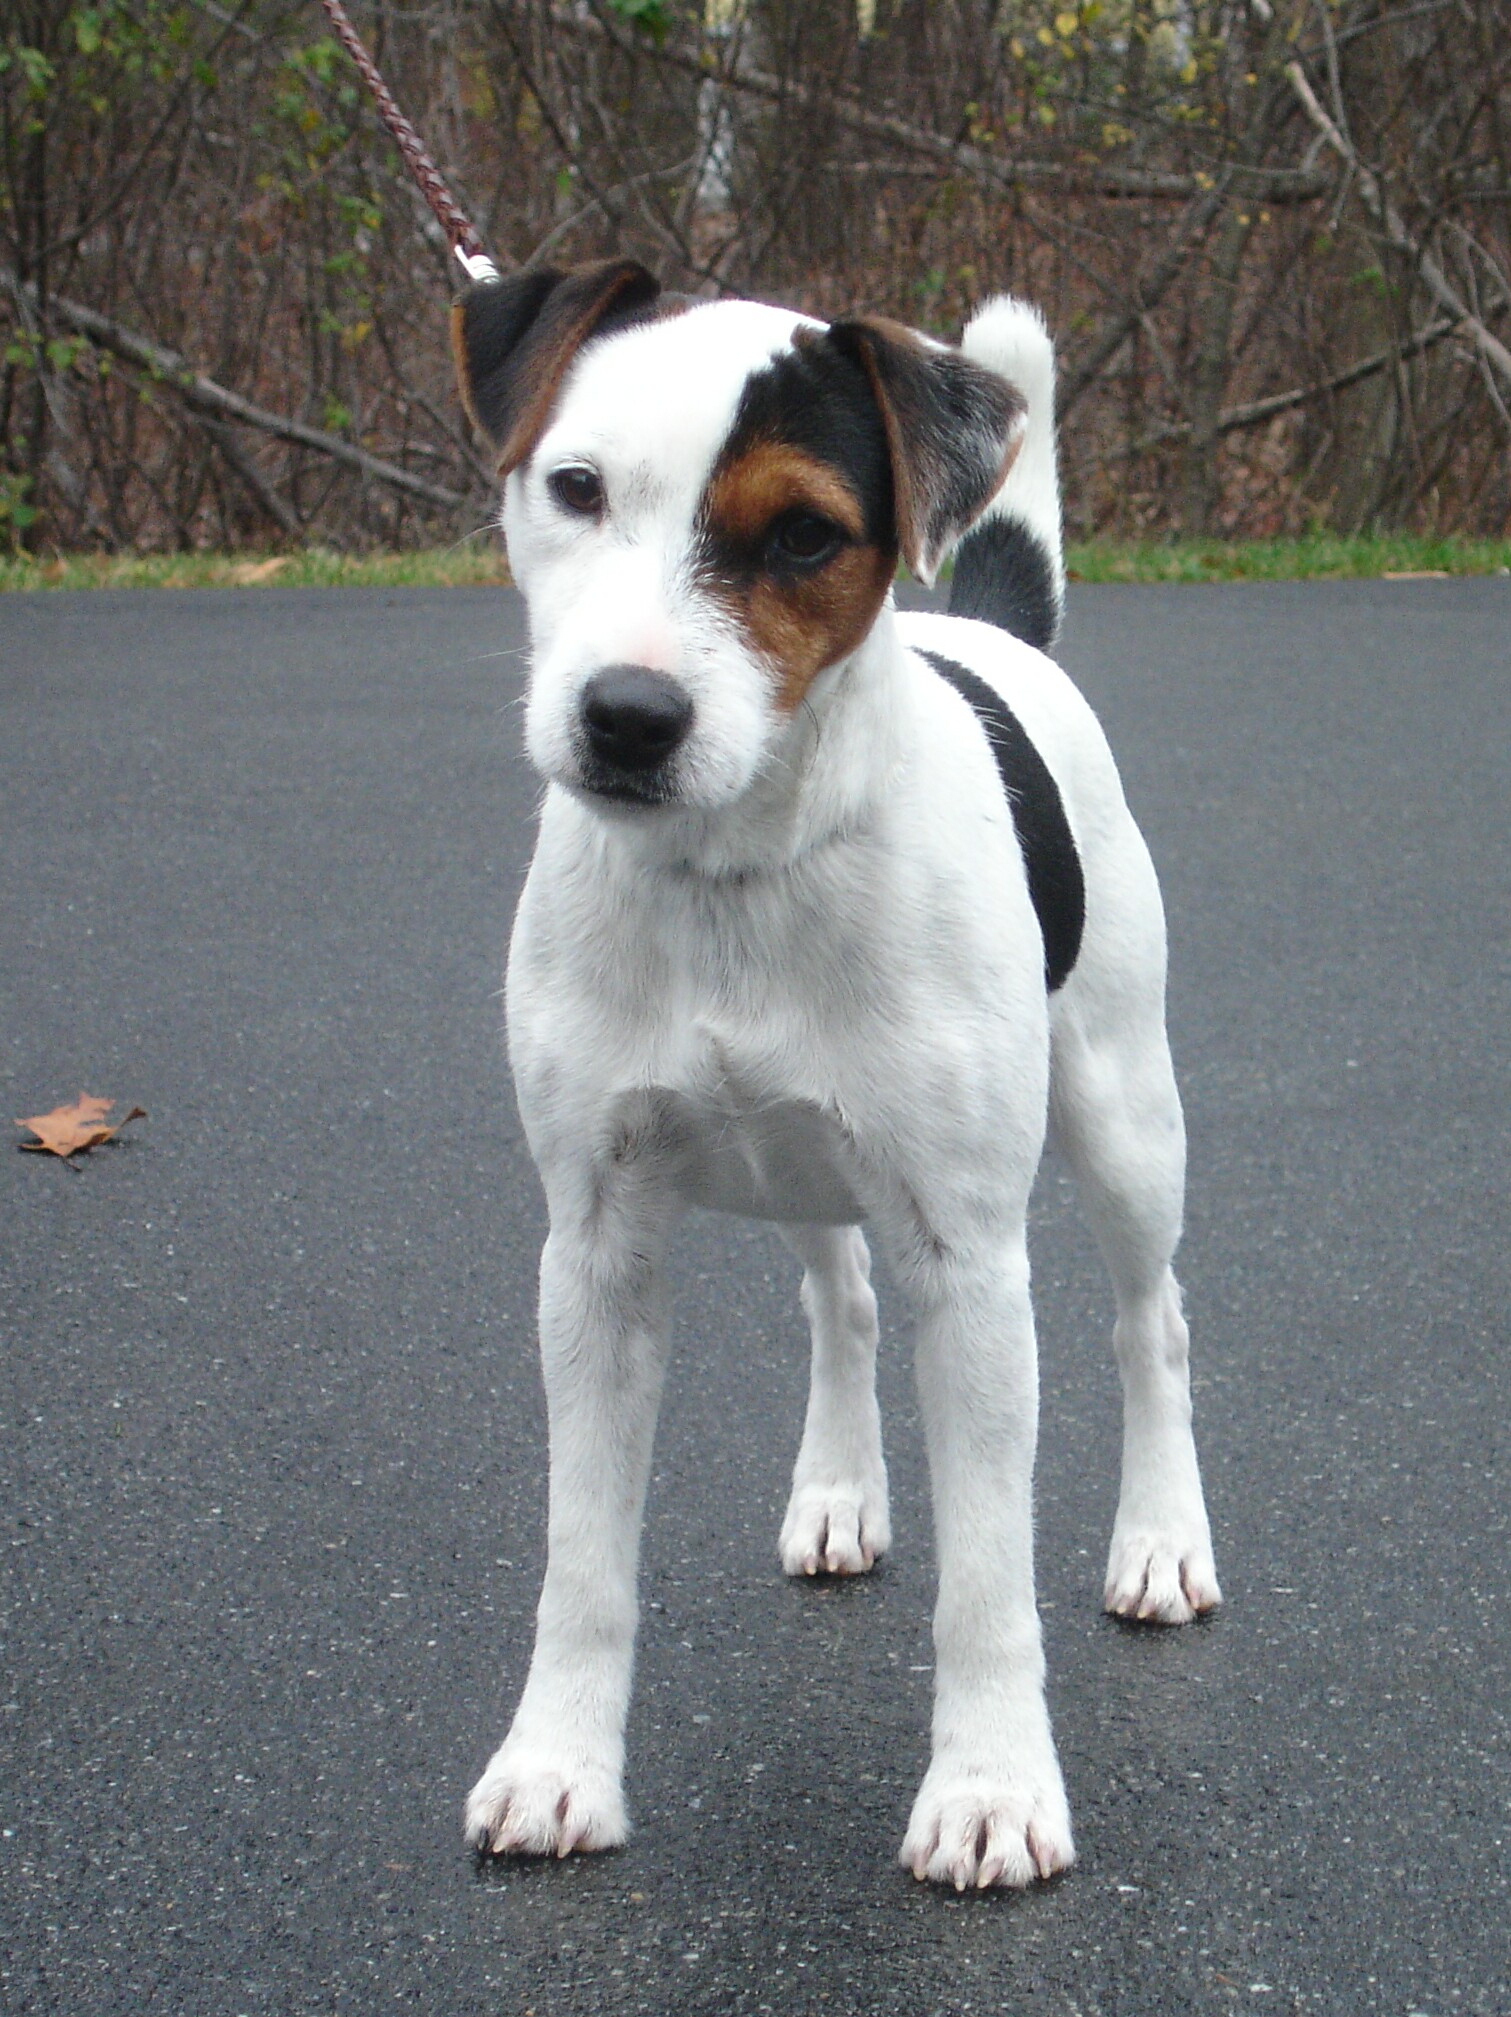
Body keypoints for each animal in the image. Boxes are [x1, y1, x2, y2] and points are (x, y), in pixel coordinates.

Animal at [447, 264, 1210, 1887]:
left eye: (802, 532)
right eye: (574, 486)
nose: (625, 717)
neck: (738, 873)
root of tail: (1000, 641)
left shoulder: (972, 1268)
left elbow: (986, 1579)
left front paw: (988, 1787)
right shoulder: (592, 1258)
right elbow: (581, 1563)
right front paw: (555, 1763)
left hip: (1123, 1118)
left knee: (1151, 1325)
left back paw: (1161, 1539)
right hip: (803, 1168)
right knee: (841, 1305)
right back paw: (841, 1490)